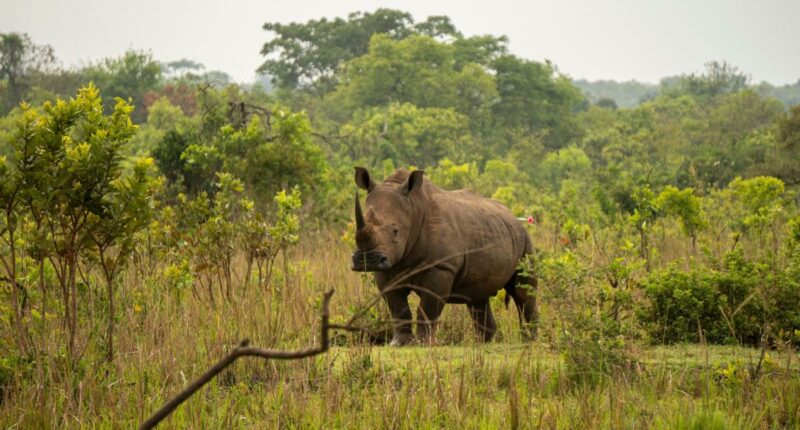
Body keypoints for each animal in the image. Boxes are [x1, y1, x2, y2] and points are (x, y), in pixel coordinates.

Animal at [351, 167, 538, 345]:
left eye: (395, 231)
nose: (367, 260)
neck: (413, 209)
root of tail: (514, 217)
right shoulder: (387, 268)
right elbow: (398, 308)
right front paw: (398, 343)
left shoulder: (441, 267)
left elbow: (427, 307)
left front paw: (423, 343)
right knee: (478, 297)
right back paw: (482, 343)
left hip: (525, 241)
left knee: (523, 292)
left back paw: (530, 340)